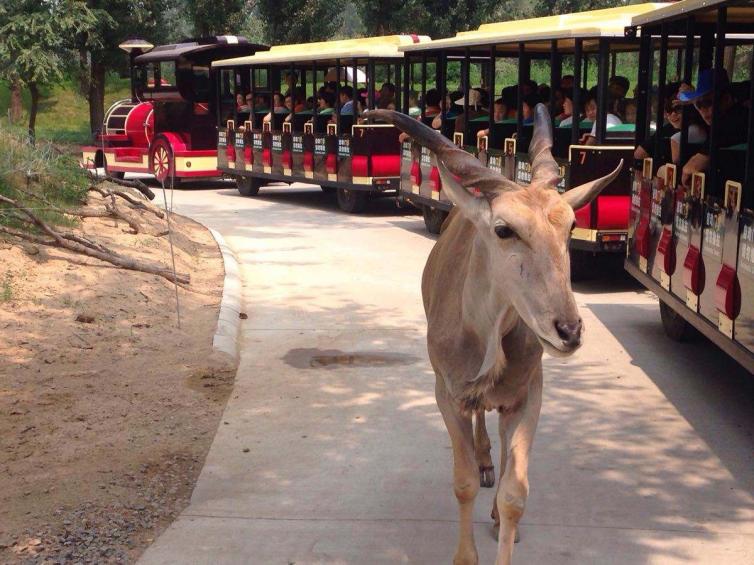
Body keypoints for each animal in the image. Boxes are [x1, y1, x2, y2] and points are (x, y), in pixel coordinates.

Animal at [368, 107, 620, 564]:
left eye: (572, 225)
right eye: (504, 230)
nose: (569, 330)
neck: (485, 336)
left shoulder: (528, 394)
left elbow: (515, 493)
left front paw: (504, 519)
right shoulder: (447, 393)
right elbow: (463, 480)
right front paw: (465, 554)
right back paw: (485, 461)